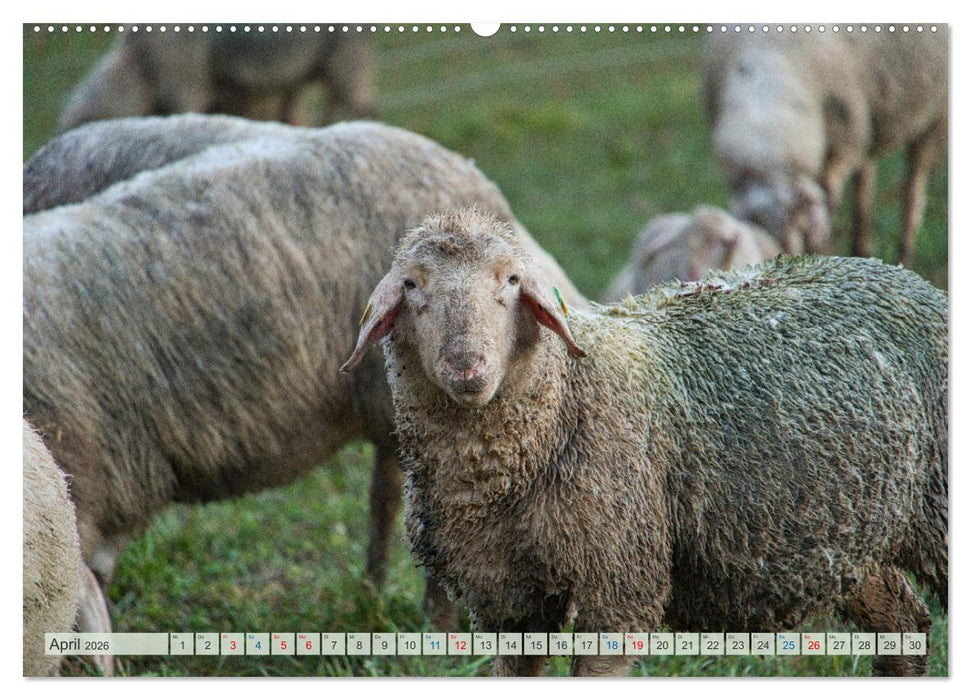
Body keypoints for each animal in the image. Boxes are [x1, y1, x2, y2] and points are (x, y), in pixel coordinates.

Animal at [703, 27, 947, 266]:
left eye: (796, 221)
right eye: (754, 225)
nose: (773, 259)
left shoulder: (838, 149)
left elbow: (829, 207)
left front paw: (824, 256)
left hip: (934, 115)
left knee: (914, 186)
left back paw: (904, 255)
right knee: (864, 180)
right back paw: (861, 248)